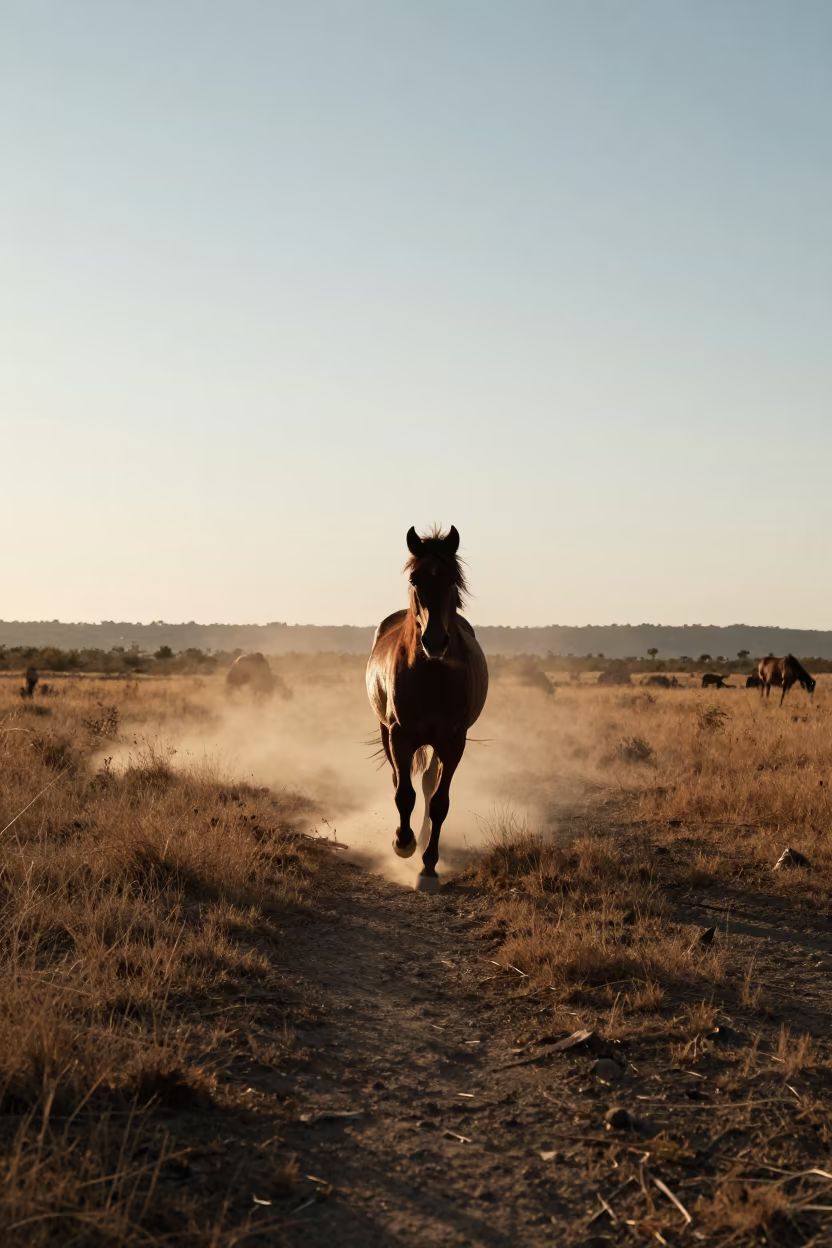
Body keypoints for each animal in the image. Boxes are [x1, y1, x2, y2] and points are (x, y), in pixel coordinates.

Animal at [366, 526, 488, 893]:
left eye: (452, 580)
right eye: (415, 579)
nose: (435, 642)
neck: (432, 675)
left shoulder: (453, 742)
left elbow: (439, 803)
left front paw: (429, 867)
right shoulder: (399, 735)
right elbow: (403, 794)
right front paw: (402, 843)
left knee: (429, 784)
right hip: (386, 733)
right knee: (399, 780)